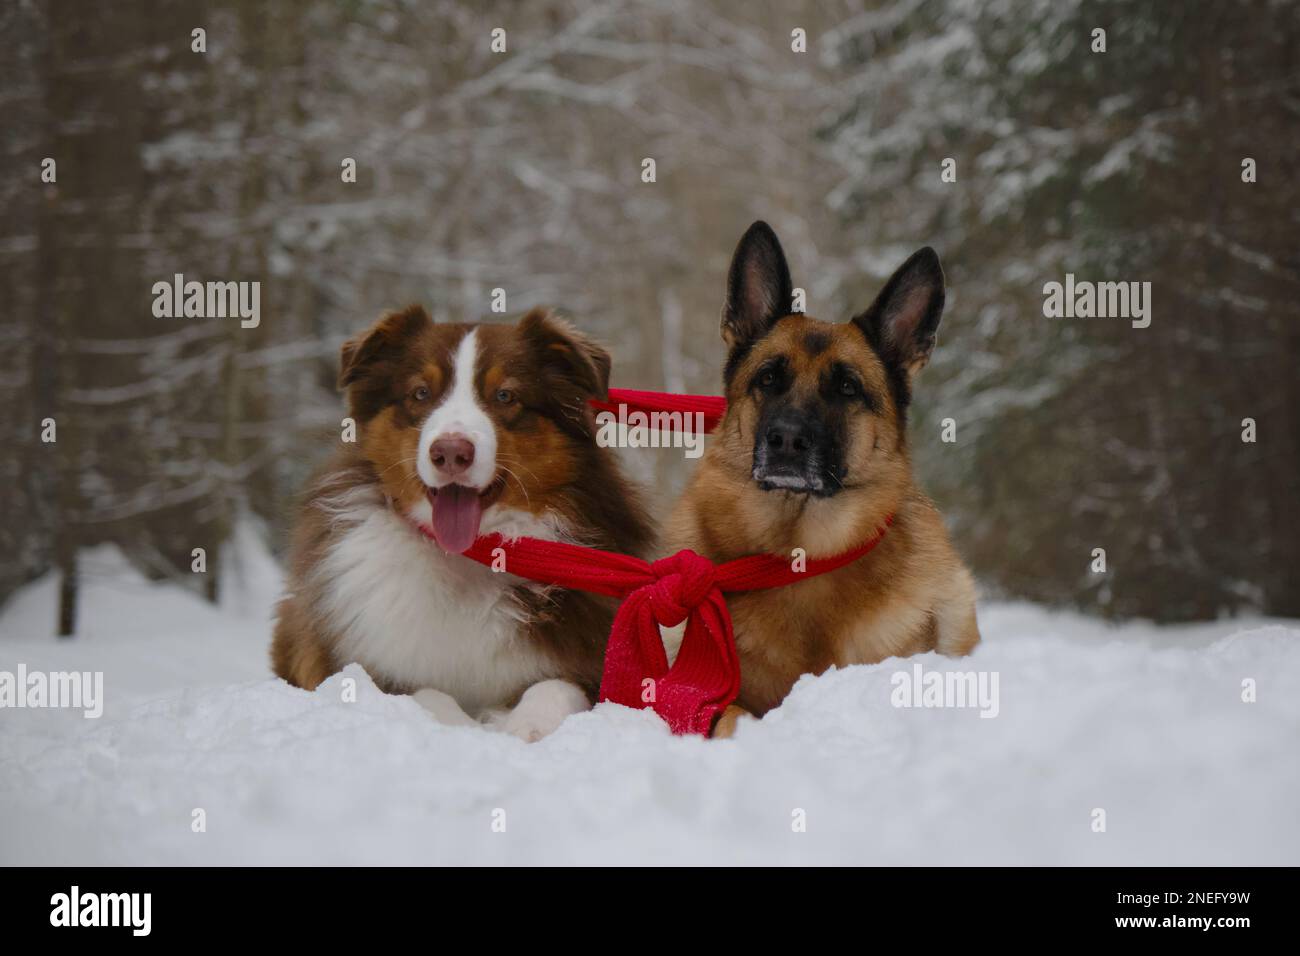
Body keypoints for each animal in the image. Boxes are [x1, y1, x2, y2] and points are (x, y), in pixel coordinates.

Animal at [271, 306, 650, 738]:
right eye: (421, 393)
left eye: (505, 395)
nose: (451, 452)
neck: (470, 557)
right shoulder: (362, 664)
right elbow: (425, 695)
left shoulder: (586, 660)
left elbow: (554, 687)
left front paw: (524, 728)